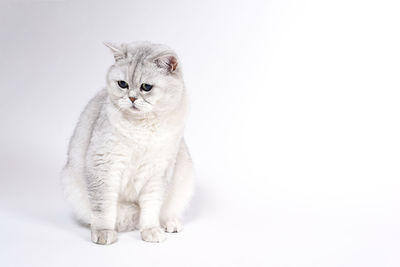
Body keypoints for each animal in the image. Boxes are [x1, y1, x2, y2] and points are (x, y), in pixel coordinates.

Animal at [60, 41, 195, 245]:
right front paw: (104, 232)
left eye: (146, 87)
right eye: (122, 84)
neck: (142, 127)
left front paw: (150, 231)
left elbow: (151, 209)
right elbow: (104, 209)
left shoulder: (157, 173)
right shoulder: (105, 166)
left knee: (164, 213)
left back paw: (169, 224)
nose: (131, 98)